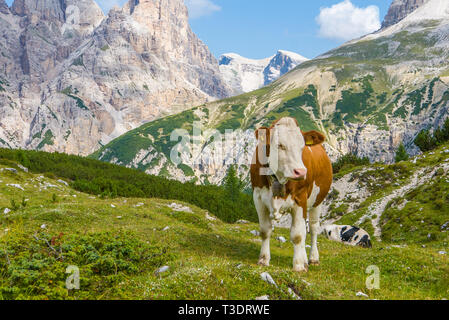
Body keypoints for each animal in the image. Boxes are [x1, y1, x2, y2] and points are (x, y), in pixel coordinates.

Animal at [248, 117, 332, 272]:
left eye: (302, 147)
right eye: (280, 145)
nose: (301, 172)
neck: (278, 178)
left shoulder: (300, 199)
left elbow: (298, 235)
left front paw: (298, 265)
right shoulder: (258, 198)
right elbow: (265, 230)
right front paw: (263, 259)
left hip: (318, 201)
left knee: (313, 229)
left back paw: (312, 259)